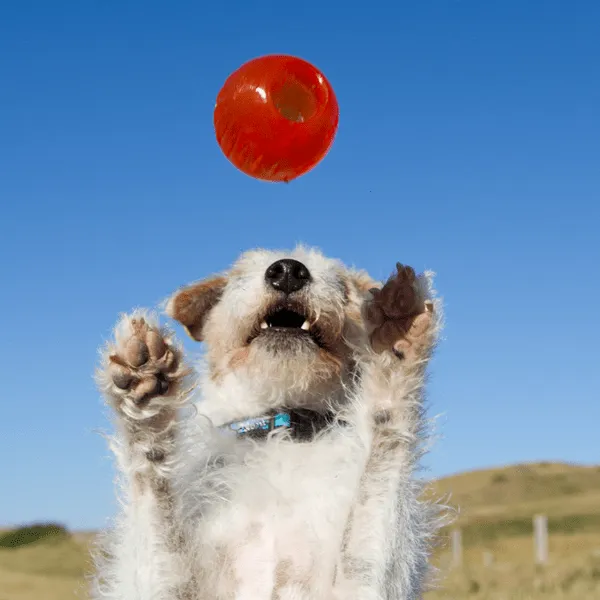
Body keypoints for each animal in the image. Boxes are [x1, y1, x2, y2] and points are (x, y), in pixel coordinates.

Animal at [90, 246, 446, 596]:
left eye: (342, 284)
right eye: (239, 275)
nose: (288, 270)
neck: (280, 424)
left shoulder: (359, 587)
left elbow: (384, 438)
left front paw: (395, 340)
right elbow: (151, 485)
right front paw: (146, 395)